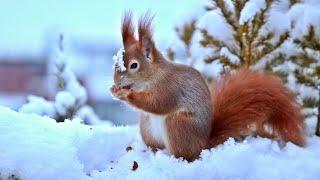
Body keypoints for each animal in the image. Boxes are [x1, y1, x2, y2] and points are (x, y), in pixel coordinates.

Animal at [111, 13, 306, 161]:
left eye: (134, 65)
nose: (116, 82)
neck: (154, 76)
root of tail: (204, 145)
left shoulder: (171, 89)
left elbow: (158, 104)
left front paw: (127, 95)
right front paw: (114, 90)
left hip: (178, 125)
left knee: (186, 154)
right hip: (147, 128)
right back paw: (152, 152)